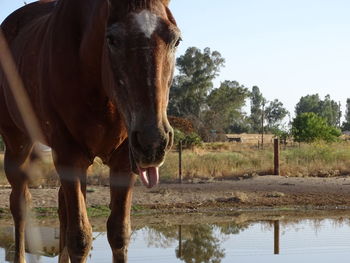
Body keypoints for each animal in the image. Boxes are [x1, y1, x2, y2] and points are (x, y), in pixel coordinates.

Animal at [0, 0, 180, 262]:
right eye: (112, 39)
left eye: (175, 40)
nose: (152, 142)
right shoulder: (70, 158)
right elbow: (80, 238)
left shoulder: (123, 162)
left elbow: (119, 233)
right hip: (17, 142)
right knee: (20, 203)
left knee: (62, 209)